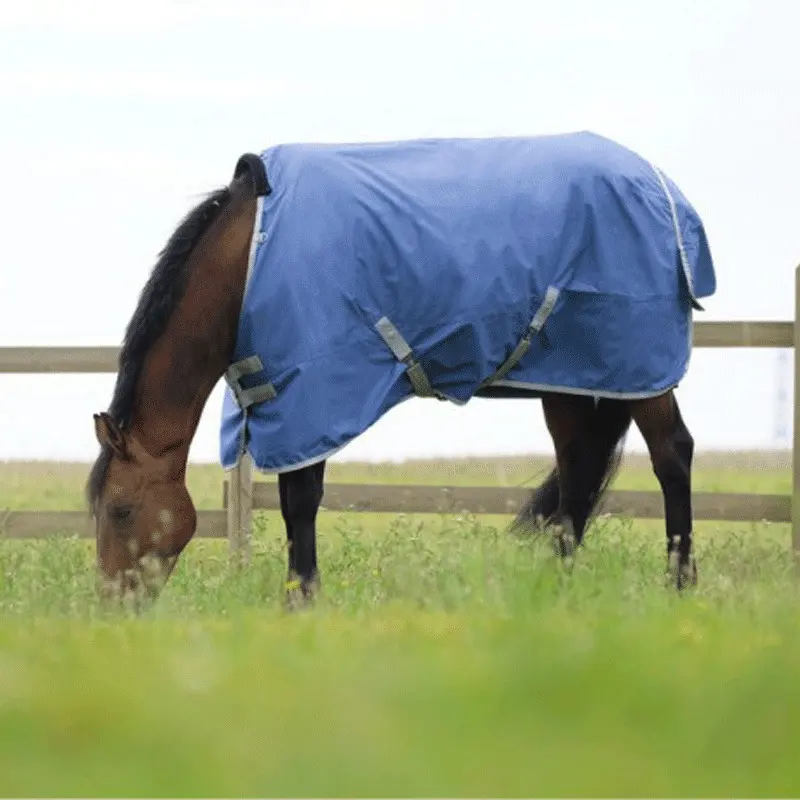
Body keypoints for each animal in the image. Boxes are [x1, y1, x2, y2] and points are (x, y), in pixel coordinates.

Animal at [87, 132, 715, 609]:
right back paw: (552, 593)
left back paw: (680, 585)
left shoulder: (312, 396)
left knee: (671, 454)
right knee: (580, 474)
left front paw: (301, 601)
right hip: (573, 378)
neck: (247, 258)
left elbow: (300, 499)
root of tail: (663, 187)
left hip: (639, 365)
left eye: (120, 509)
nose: (114, 609)